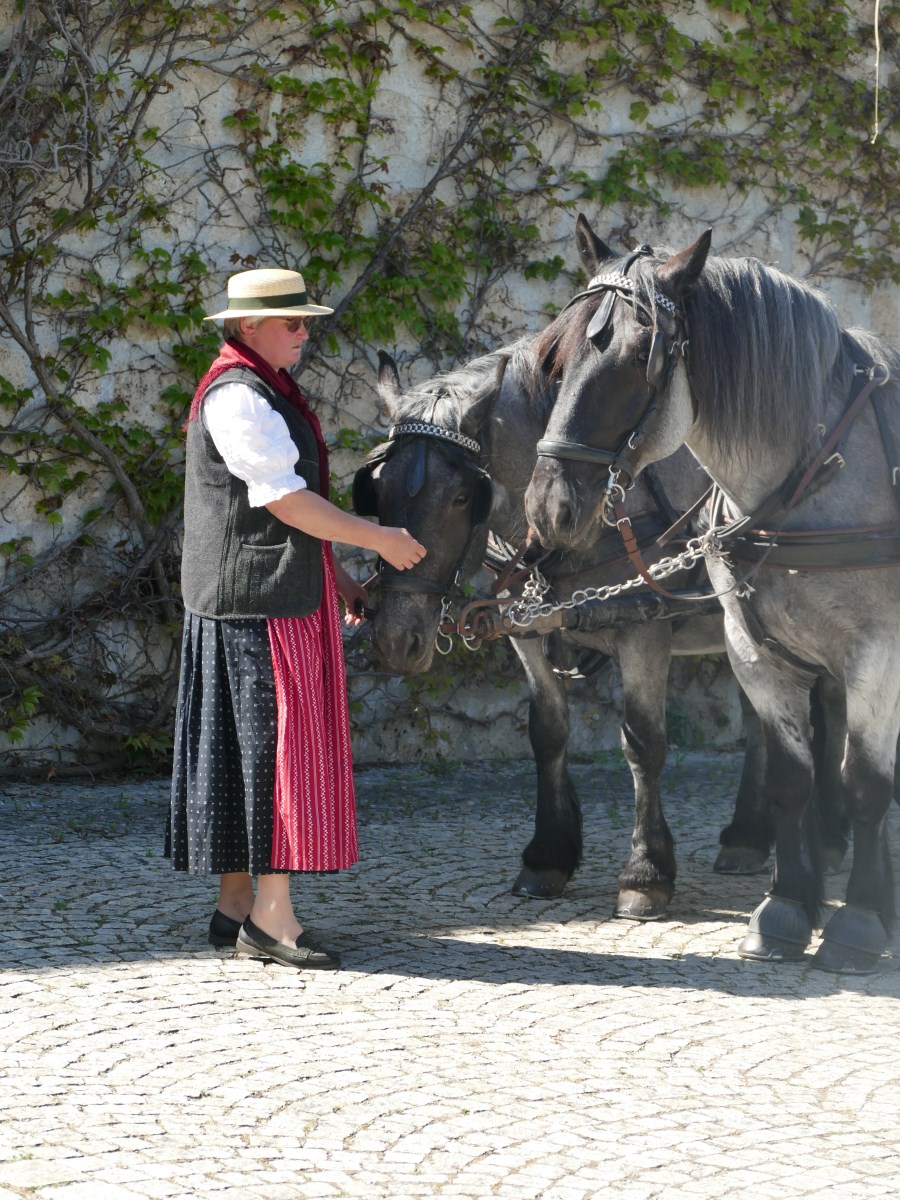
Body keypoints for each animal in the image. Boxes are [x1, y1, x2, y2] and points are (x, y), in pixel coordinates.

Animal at [525, 213, 897, 964]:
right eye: (557, 356)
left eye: (636, 359)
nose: (550, 506)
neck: (811, 476)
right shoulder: (754, 652)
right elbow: (791, 777)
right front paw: (786, 909)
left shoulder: (876, 653)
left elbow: (867, 782)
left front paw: (861, 918)